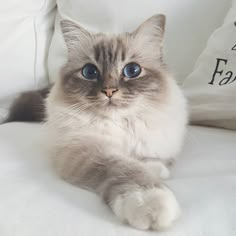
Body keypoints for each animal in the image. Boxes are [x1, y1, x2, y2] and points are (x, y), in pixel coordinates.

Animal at [6, 14, 188, 230]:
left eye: (132, 70)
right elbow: (127, 167)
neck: (121, 123)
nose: (109, 91)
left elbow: (149, 161)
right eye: (90, 72)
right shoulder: (90, 149)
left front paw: (158, 170)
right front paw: (150, 202)